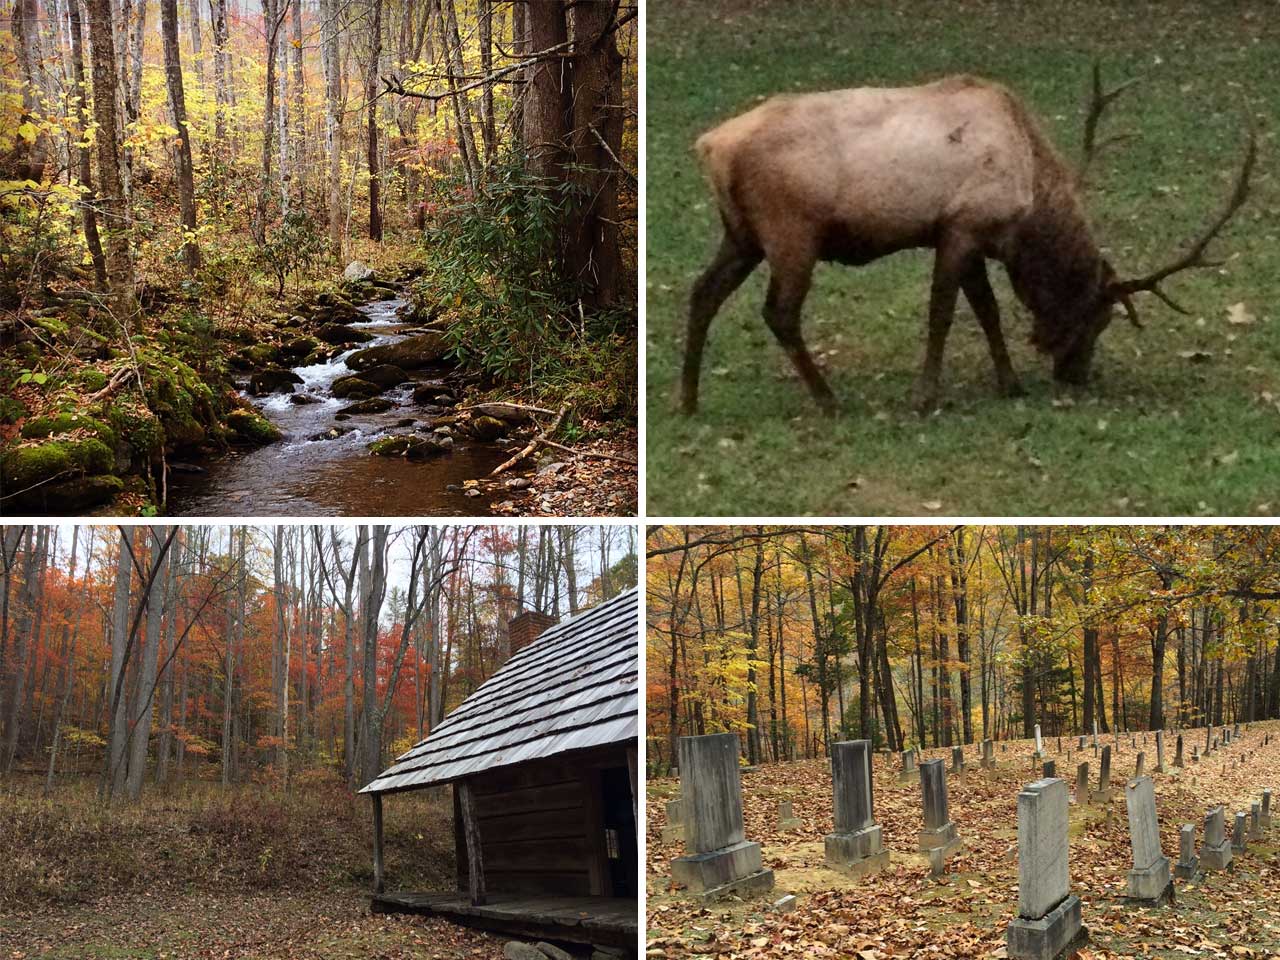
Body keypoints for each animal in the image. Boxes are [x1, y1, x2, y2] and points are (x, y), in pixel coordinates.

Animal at [686, 67, 1254, 414]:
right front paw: (924, 396)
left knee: (702, 292)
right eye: (1099, 318)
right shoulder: (960, 227)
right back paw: (828, 400)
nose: (1077, 376)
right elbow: (943, 311)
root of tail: (711, 145)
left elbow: (987, 311)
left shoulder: (976, 239)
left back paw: (687, 399)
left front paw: (1010, 383)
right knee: (779, 312)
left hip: (741, 234)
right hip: (791, 231)